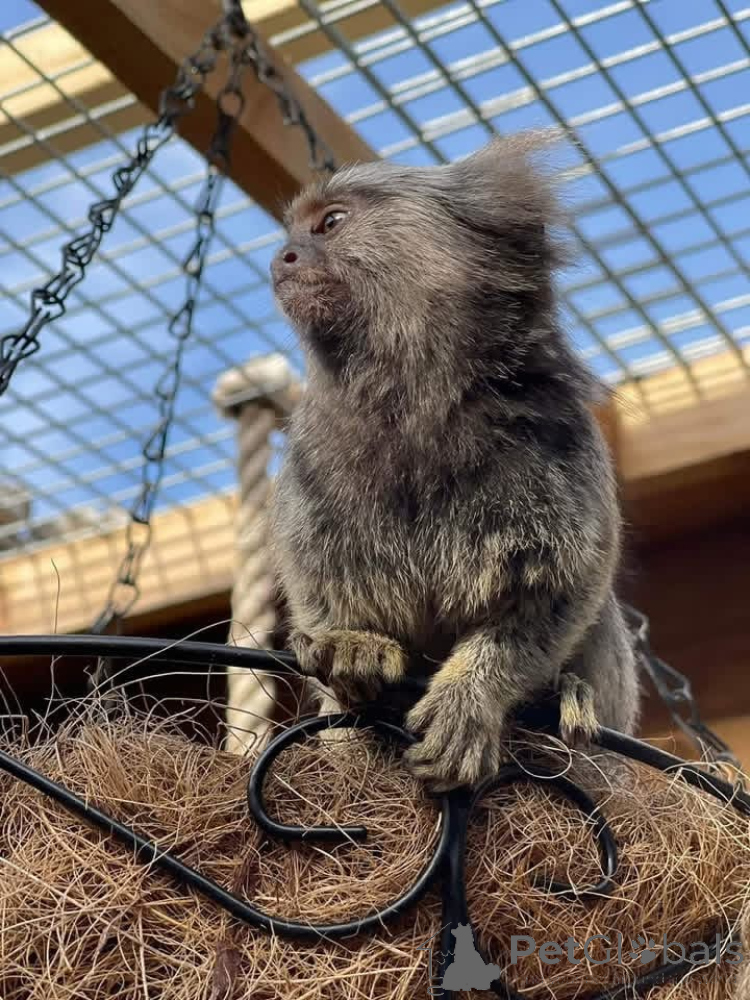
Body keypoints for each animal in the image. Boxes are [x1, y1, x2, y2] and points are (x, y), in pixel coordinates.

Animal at [268, 132, 639, 789]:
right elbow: (312, 583)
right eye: (294, 234)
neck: (418, 400)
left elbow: (565, 591)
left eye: (330, 223)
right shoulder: (309, 460)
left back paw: (569, 699)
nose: (282, 258)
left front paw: (472, 698)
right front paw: (351, 645)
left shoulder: (562, 446)